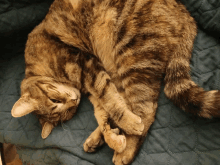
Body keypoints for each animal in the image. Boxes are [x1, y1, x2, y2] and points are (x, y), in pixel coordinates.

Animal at [11, 0, 220, 165]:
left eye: (54, 100)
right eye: (67, 113)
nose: (74, 101)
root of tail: (186, 14)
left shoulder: (89, 66)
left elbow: (111, 102)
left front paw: (126, 126)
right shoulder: (94, 86)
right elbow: (104, 112)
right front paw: (109, 136)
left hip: (131, 55)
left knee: (146, 110)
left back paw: (126, 148)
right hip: (123, 67)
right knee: (132, 104)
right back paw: (100, 140)